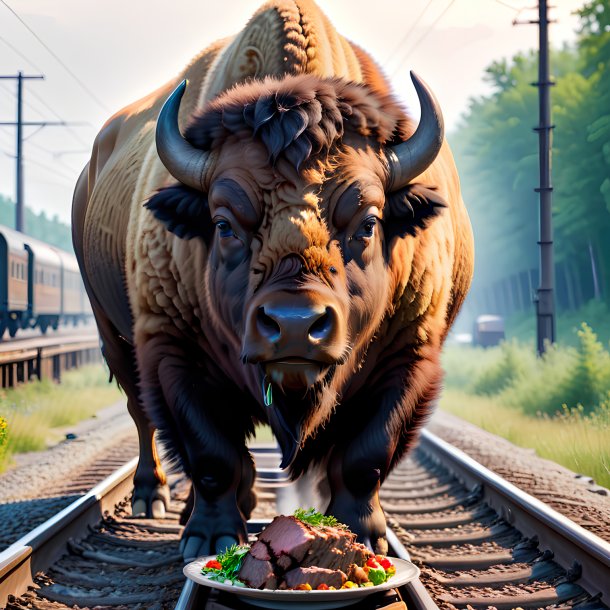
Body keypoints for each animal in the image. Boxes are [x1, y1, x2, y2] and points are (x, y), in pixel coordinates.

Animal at [70, 0, 470, 560]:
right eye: (222, 223)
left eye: (369, 221)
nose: (295, 324)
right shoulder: (171, 349)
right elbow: (211, 454)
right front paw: (211, 537)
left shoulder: (408, 352)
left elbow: (365, 454)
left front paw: (364, 537)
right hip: (113, 336)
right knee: (142, 414)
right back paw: (155, 498)